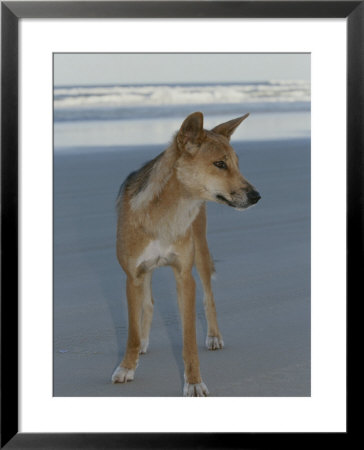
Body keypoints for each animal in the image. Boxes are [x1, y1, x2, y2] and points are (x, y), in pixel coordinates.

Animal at [112, 113, 260, 398]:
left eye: (237, 164)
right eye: (219, 164)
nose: (256, 196)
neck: (166, 213)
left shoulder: (184, 276)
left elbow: (189, 338)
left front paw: (193, 382)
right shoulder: (132, 276)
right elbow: (133, 331)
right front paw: (127, 366)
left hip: (200, 252)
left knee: (209, 297)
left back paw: (213, 336)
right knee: (148, 303)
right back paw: (144, 343)